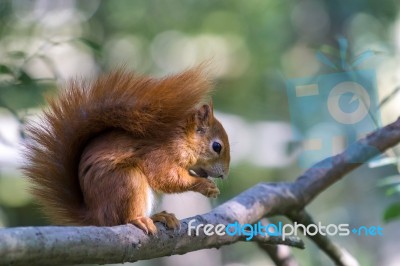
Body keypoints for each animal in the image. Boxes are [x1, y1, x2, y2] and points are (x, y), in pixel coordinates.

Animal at [24, 65, 231, 234]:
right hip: (127, 180)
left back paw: (160, 216)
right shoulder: (158, 153)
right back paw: (143, 219)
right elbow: (166, 178)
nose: (224, 175)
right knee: (123, 218)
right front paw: (205, 186)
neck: (179, 138)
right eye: (217, 146)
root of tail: (96, 216)